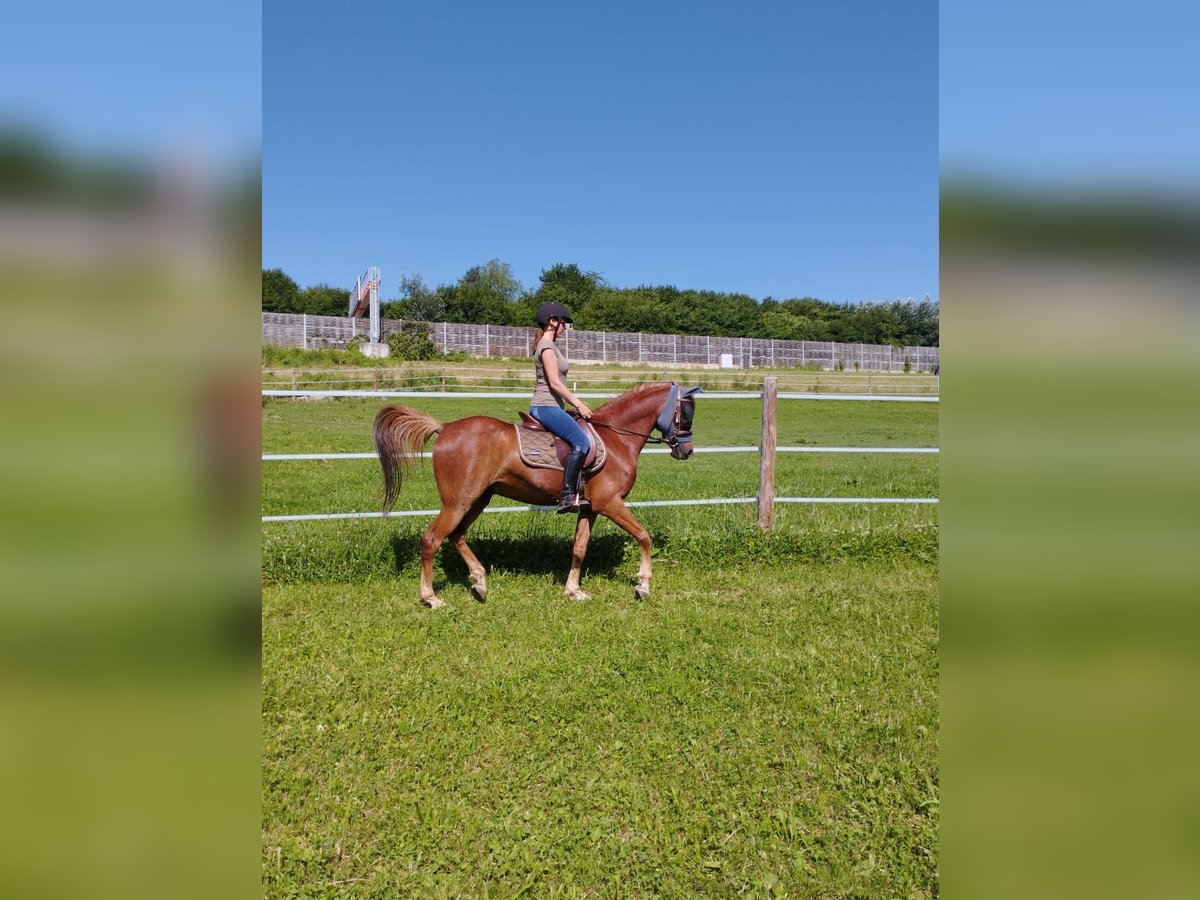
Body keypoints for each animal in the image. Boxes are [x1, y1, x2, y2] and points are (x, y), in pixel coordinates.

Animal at [369, 384, 700, 609]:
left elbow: (579, 548)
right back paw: (431, 598)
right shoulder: (610, 503)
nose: (686, 451)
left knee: (457, 535)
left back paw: (479, 582)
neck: (615, 438)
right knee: (431, 540)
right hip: (458, 502)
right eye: (685, 414)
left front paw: (573, 591)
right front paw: (643, 585)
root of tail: (445, 427)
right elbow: (644, 536)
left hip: (478, 500)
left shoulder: (589, 509)